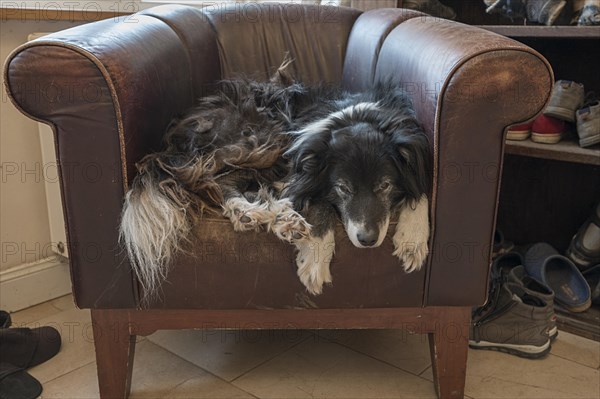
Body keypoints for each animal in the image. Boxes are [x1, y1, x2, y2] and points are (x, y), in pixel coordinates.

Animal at [120, 66, 432, 296]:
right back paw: (256, 213)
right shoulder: (299, 165)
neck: (357, 115)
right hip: (265, 136)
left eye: (385, 186)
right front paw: (315, 260)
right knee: (211, 178)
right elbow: (318, 204)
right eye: (343, 188)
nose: (367, 241)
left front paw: (413, 239)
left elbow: (422, 190)